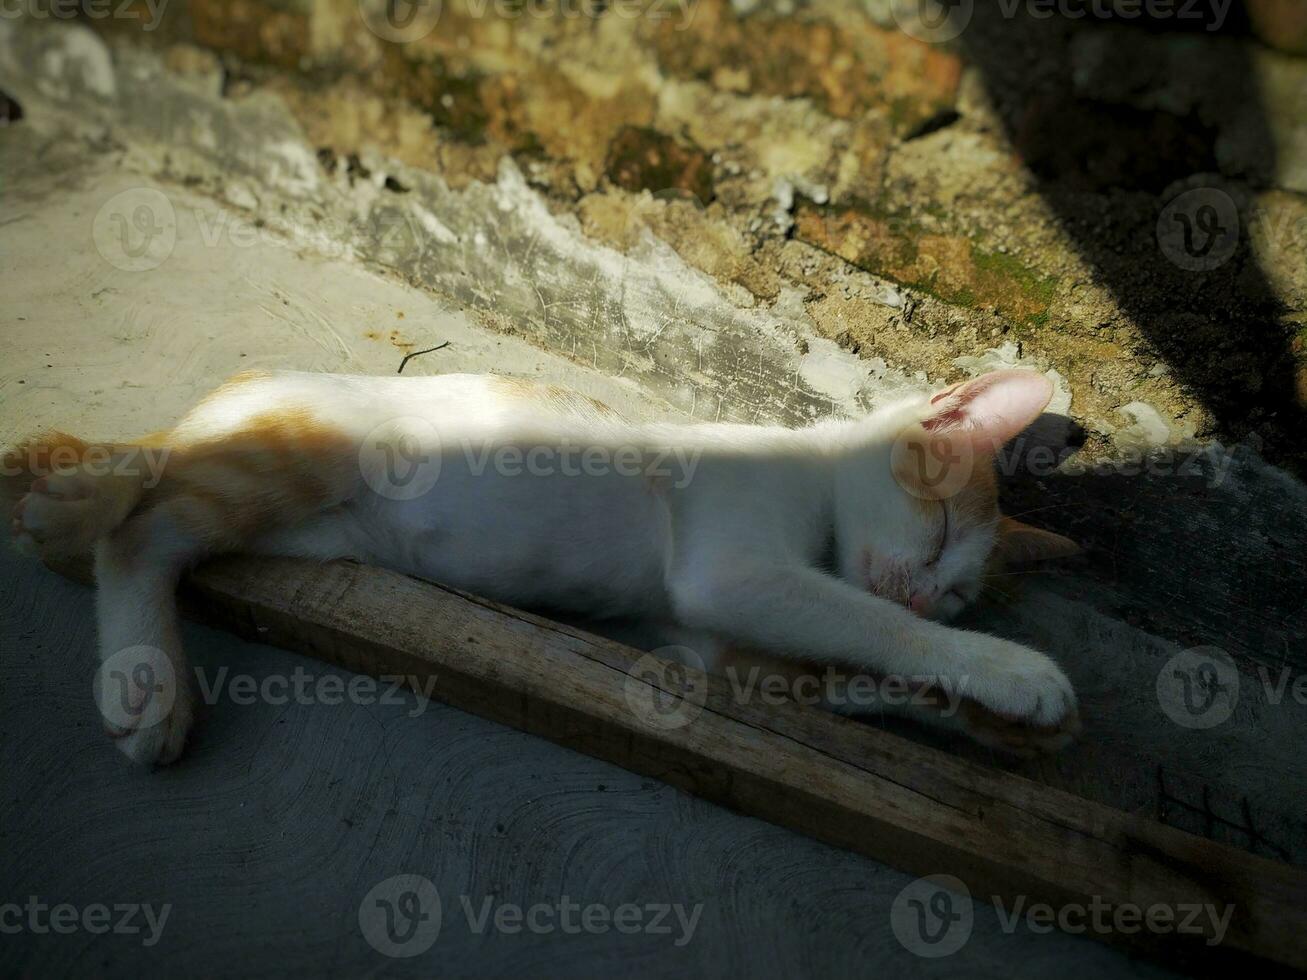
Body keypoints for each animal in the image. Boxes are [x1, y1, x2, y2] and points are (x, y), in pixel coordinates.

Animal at [5, 368, 1076, 768]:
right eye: (939, 530)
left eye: (957, 584)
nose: (927, 586)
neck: (812, 472)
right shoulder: (732, 570)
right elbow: (872, 624)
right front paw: (1007, 668)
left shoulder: (714, 645)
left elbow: (852, 674)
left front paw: (1000, 717)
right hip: (300, 450)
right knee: (135, 522)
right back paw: (137, 662)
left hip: (304, 527)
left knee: (163, 520)